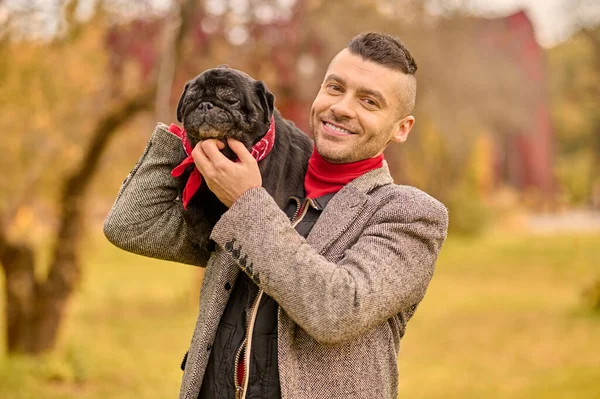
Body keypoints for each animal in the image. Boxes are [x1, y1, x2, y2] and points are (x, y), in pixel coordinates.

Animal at [175, 67, 312, 239]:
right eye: (190, 100)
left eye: (231, 100)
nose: (205, 104)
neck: (227, 155)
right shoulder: (191, 197)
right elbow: (194, 217)